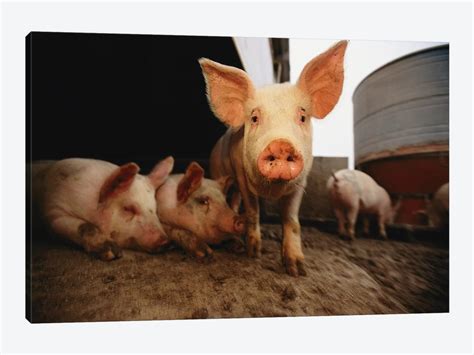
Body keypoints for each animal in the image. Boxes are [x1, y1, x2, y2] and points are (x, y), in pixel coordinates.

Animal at [31, 157, 174, 260]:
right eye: (128, 208)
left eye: (154, 208)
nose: (165, 241)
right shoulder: (52, 210)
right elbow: (84, 226)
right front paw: (113, 253)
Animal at [199, 40, 348, 276]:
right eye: (254, 118)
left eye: (302, 116)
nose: (281, 144)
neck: (272, 190)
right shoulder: (242, 175)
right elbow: (253, 211)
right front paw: (254, 253)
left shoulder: (301, 183)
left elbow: (291, 220)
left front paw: (297, 270)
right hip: (218, 171)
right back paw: (237, 244)